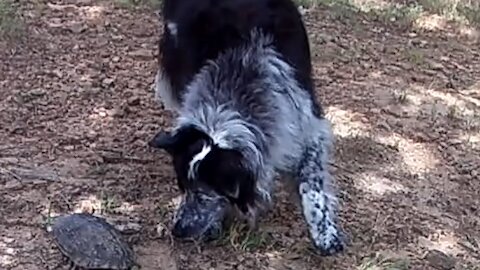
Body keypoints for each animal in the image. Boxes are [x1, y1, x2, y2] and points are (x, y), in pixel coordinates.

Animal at [150, 0, 344, 255]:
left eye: (203, 194)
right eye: (182, 188)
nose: (178, 230)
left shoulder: (307, 124)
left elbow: (312, 186)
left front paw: (324, 231)